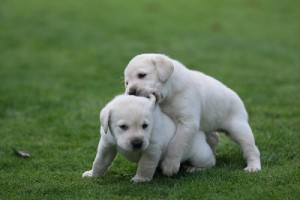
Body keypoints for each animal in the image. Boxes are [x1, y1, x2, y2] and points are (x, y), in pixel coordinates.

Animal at [82, 94, 216, 182]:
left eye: (145, 125)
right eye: (123, 127)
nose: (137, 143)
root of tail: (201, 133)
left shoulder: (152, 149)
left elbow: (145, 165)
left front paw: (140, 179)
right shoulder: (107, 145)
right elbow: (99, 162)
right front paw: (93, 174)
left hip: (199, 155)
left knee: (210, 162)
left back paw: (193, 168)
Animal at [123, 52, 260, 175]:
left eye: (142, 75)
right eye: (126, 82)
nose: (130, 92)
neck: (171, 92)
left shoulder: (187, 123)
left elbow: (176, 144)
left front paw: (170, 165)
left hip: (239, 128)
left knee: (251, 148)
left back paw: (253, 166)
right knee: (214, 138)